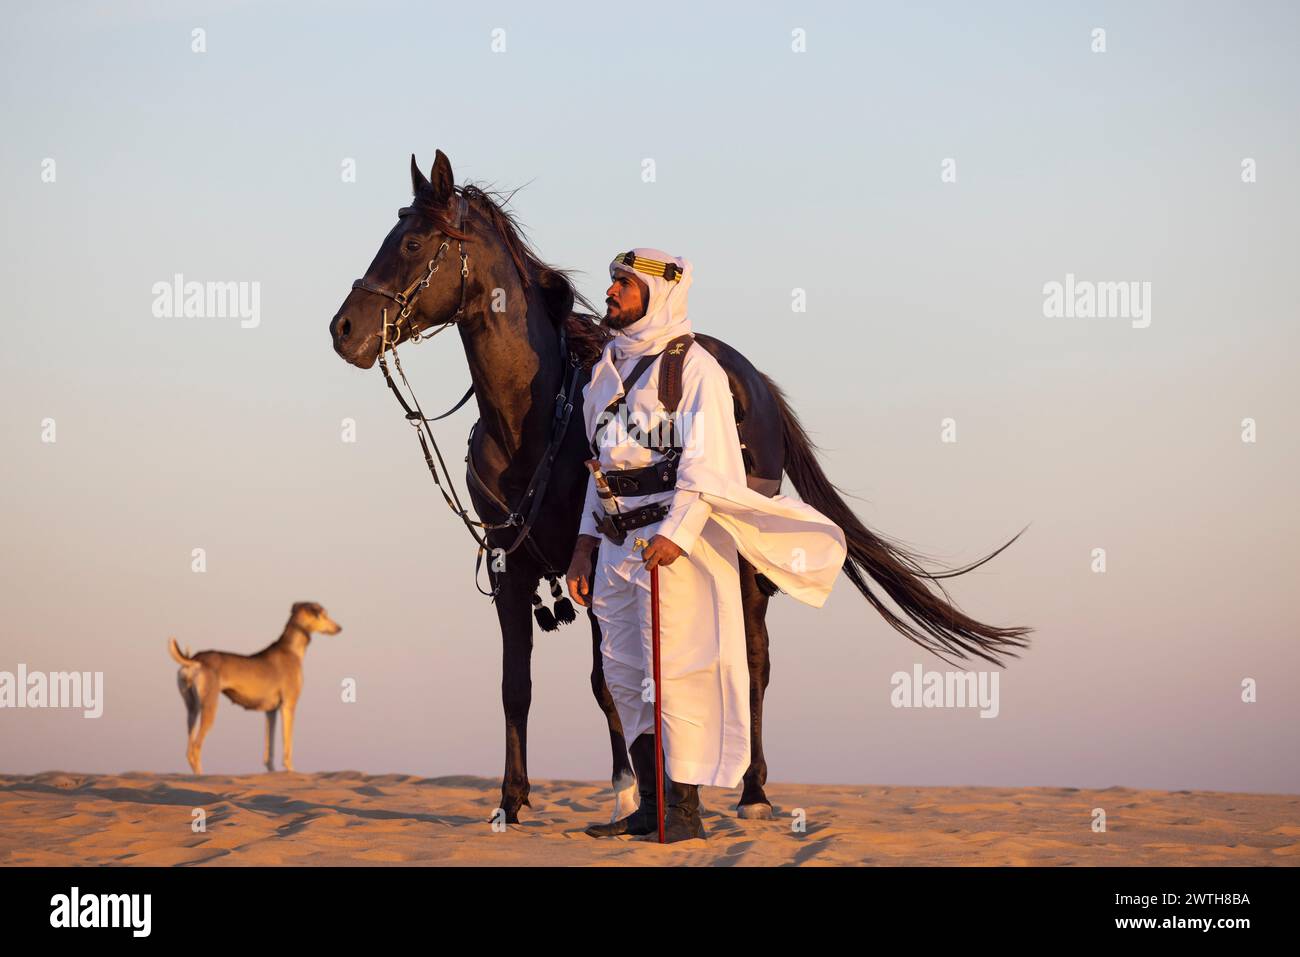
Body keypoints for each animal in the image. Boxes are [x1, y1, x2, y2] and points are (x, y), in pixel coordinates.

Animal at [166, 600, 340, 774]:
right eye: (324, 615)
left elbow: (269, 749)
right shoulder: (288, 705)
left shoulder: (270, 711)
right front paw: (291, 771)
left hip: (192, 709)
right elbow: (287, 745)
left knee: (189, 748)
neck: (291, 649)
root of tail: (195, 660)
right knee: (195, 748)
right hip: (209, 705)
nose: (339, 628)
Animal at [330, 149, 1029, 821]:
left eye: (412, 243)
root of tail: (755, 382)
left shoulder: (594, 557)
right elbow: (515, 685)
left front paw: (627, 792)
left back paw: (752, 790)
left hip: (743, 561)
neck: (533, 421)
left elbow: (607, 681)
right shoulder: (511, 566)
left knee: (753, 661)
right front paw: (511, 800)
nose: (343, 330)